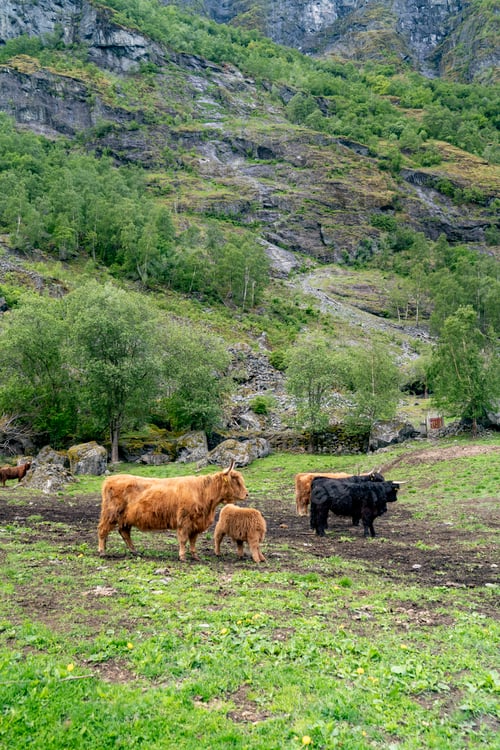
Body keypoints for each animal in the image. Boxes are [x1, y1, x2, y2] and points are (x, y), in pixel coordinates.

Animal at [97, 462, 249, 561]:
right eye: (235, 480)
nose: (247, 494)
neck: (203, 493)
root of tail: (110, 479)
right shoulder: (184, 521)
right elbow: (183, 539)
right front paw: (182, 556)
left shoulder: (196, 523)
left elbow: (193, 540)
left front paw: (195, 556)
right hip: (110, 514)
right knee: (103, 530)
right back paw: (102, 551)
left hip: (125, 517)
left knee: (124, 532)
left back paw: (135, 551)